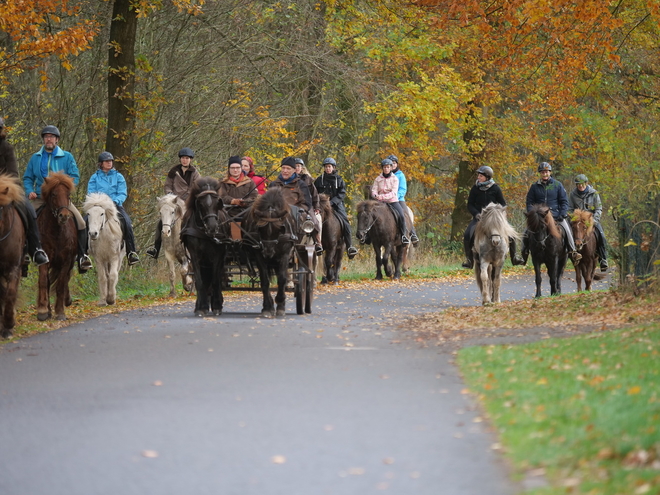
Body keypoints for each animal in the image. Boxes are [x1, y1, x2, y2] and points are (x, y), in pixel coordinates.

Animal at [36, 173, 77, 322]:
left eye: (68, 194)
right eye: (53, 194)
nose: (63, 216)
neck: (56, 232)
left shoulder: (66, 261)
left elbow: (60, 284)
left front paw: (60, 312)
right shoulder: (44, 259)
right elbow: (43, 282)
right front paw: (43, 311)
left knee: (65, 280)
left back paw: (67, 300)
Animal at [182, 177, 228, 318]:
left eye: (217, 203)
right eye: (201, 204)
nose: (213, 227)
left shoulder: (218, 255)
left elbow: (215, 280)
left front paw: (217, 306)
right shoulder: (194, 255)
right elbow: (199, 281)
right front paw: (201, 308)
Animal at [244, 188, 298, 316]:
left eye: (279, 229)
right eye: (260, 229)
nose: (268, 252)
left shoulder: (285, 254)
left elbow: (282, 279)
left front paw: (281, 305)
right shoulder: (259, 255)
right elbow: (265, 280)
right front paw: (267, 307)